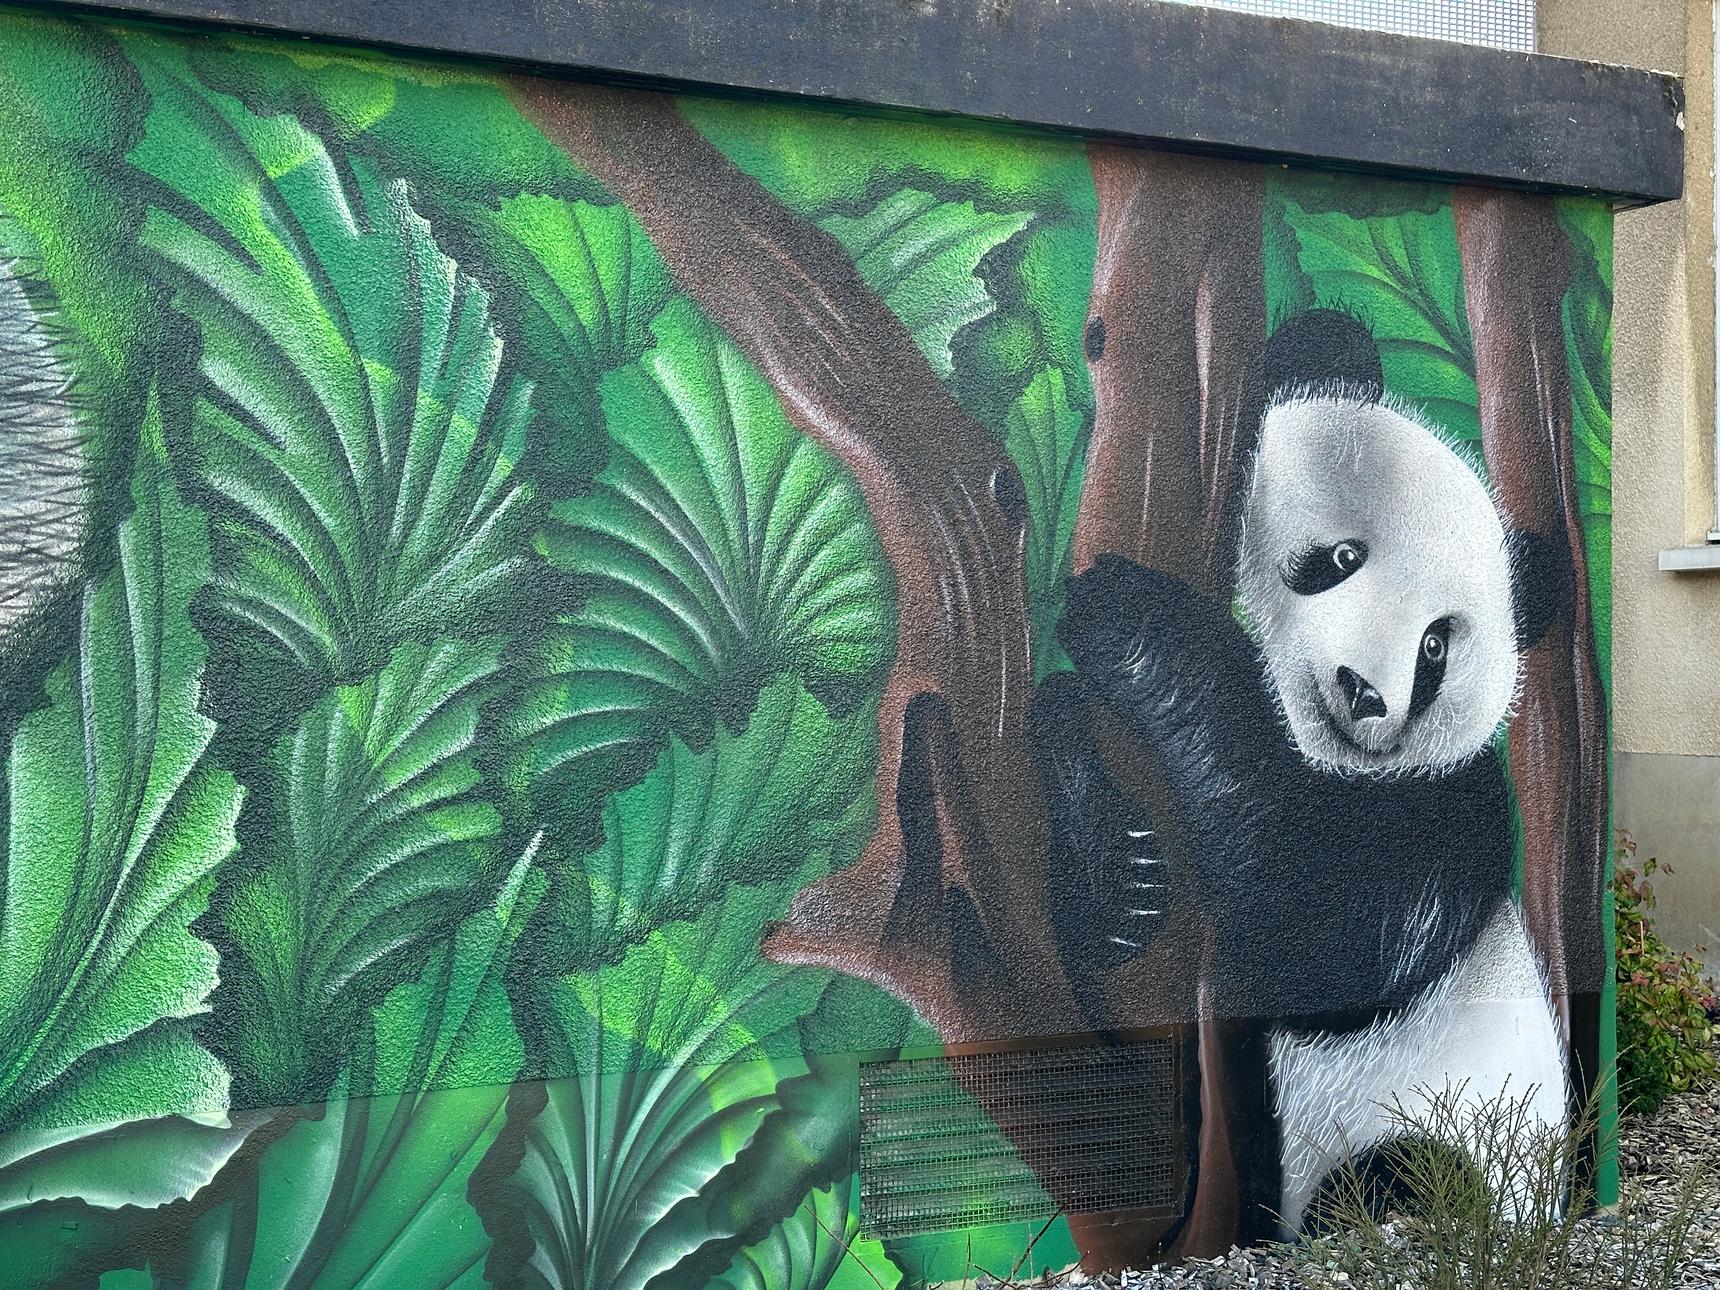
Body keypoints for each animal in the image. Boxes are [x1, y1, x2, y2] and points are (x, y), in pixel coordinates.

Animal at [1032, 309, 1569, 1241]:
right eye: (1343, 556)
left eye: (1435, 646)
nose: (1365, 693)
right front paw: (1117, 869)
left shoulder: (1447, 808)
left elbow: (1328, 942)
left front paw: (1131, 623)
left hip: (1445, 1138)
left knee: (1398, 1177)